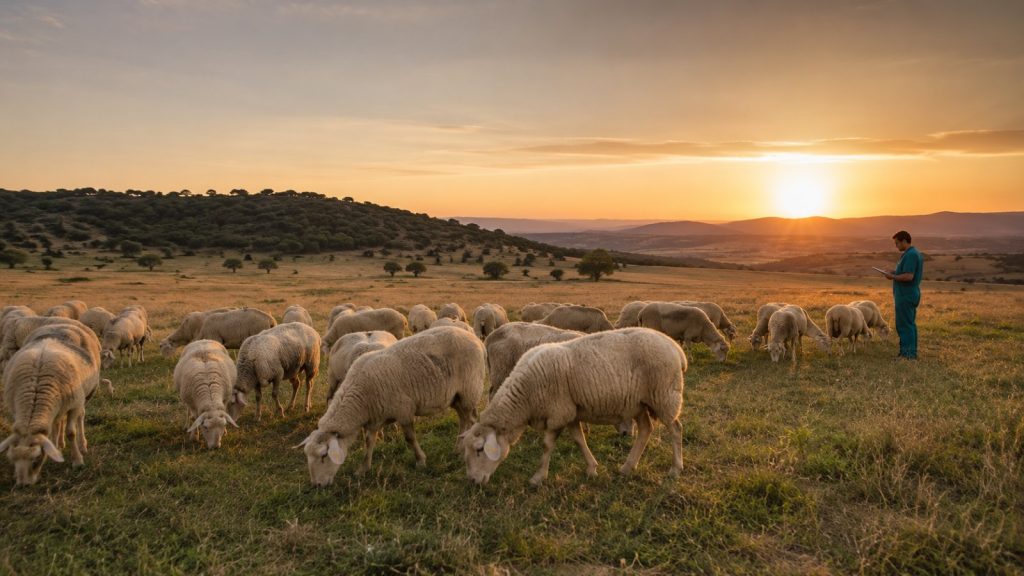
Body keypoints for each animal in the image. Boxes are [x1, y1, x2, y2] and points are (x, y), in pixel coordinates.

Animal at [0, 324, 102, 485]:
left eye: (36, 459)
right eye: (12, 459)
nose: (23, 485)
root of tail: (63, 324)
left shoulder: (75, 405)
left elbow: (71, 432)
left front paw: (77, 461)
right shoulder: (17, 410)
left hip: (84, 396)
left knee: (80, 418)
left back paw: (82, 445)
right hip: (60, 405)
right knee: (58, 422)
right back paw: (58, 444)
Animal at [297, 326, 485, 486]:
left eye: (324, 455)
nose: (317, 485)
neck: (360, 397)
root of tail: (474, 338)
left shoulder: (404, 411)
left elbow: (410, 438)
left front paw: (420, 461)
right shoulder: (375, 418)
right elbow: (369, 442)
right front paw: (363, 469)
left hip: (469, 390)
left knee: (469, 419)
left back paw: (462, 450)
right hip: (456, 397)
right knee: (464, 420)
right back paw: (458, 448)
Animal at [461, 327, 686, 485]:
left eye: (480, 450)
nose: (473, 481)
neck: (525, 399)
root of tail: (674, 346)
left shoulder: (558, 413)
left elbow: (547, 445)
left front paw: (538, 477)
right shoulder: (570, 412)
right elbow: (579, 440)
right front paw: (592, 468)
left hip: (664, 396)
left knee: (675, 429)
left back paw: (675, 469)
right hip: (638, 404)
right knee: (646, 430)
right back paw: (627, 467)